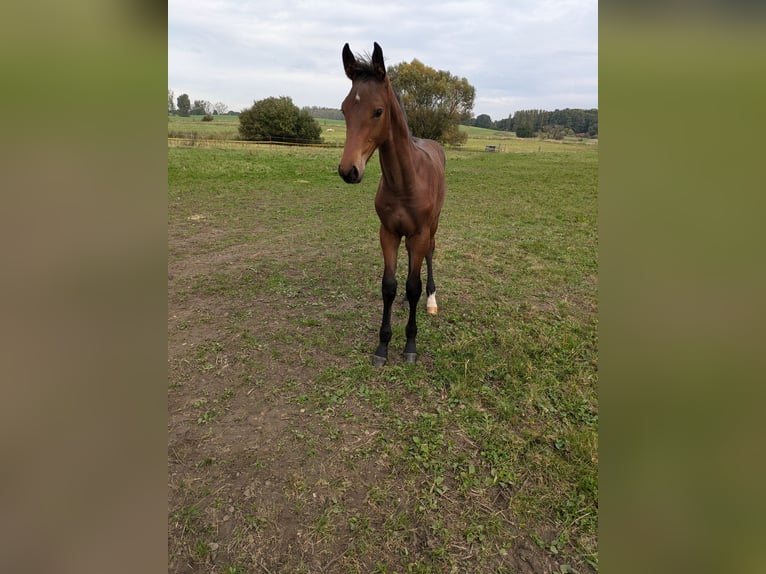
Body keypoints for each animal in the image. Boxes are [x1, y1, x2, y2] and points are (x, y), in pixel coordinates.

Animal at [340, 44, 448, 368]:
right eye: (344, 109)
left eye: (378, 111)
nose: (348, 170)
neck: (404, 182)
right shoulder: (388, 232)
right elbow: (389, 286)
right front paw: (382, 346)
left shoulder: (419, 232)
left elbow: (413, 286)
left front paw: (410, 345)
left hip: (432, 226)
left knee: (429, 254)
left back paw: (431, 300)